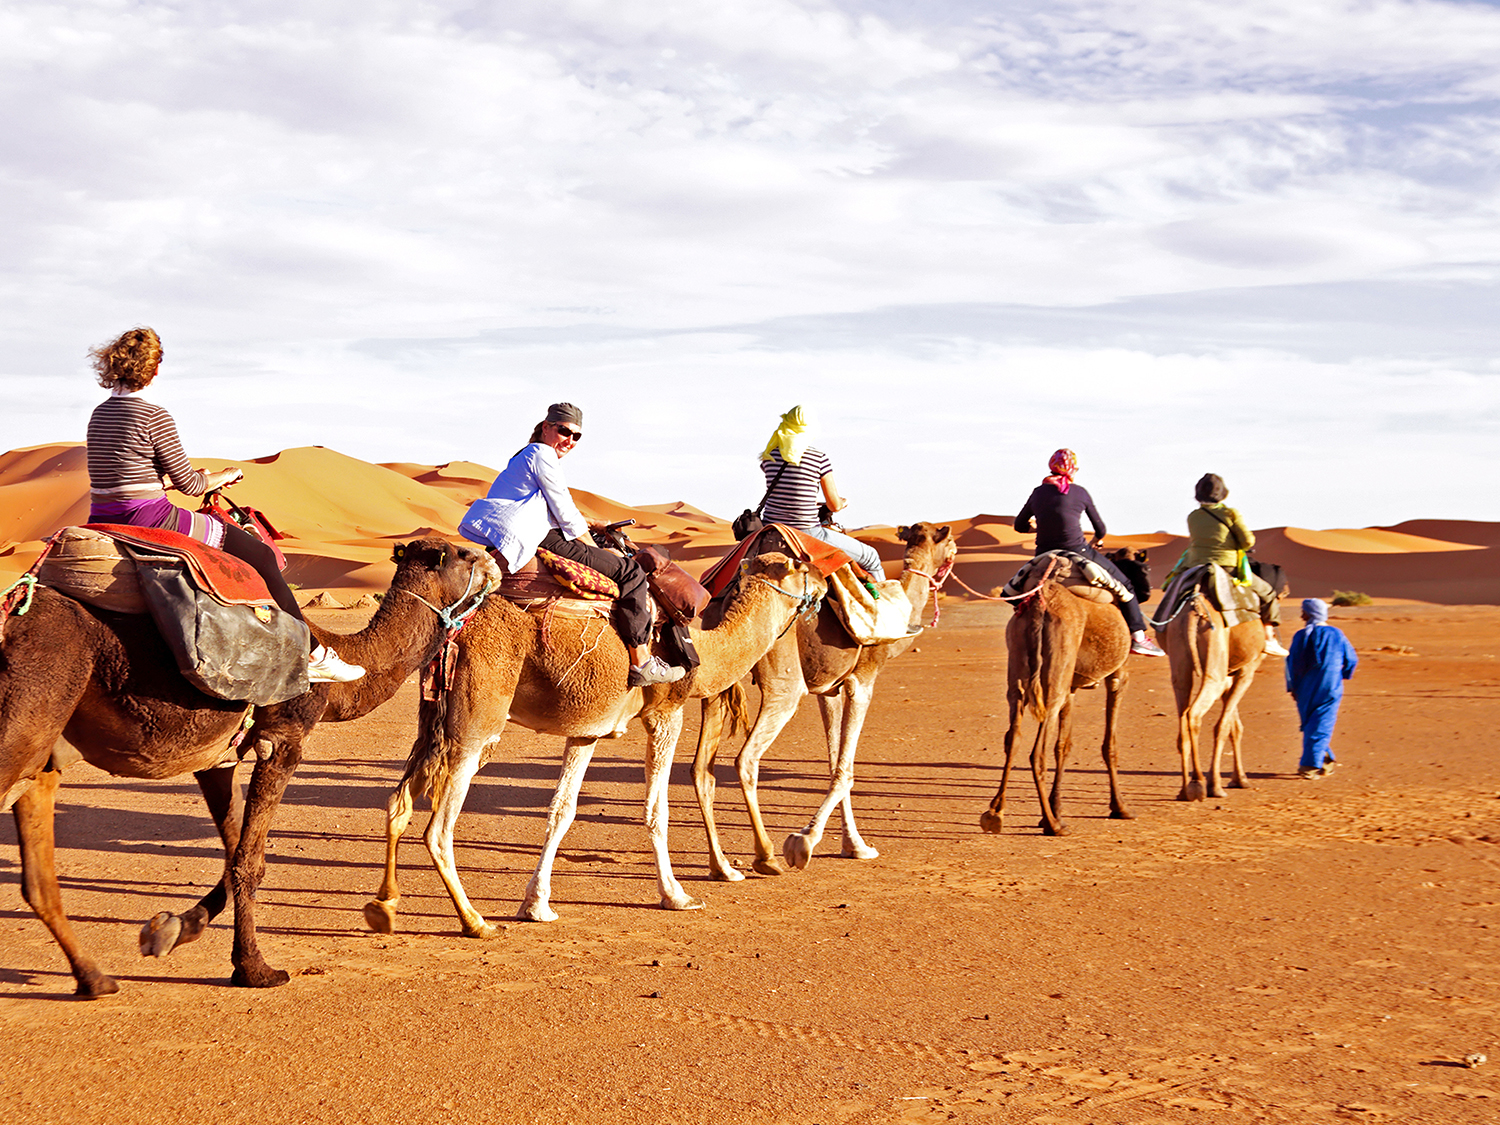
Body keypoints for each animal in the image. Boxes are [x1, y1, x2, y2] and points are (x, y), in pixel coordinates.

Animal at [0, 537, 504, 996]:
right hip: (28, 710)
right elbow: (250, 860)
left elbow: (232, 853)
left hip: (42, 753)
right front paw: (254, 969)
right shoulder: (282, 740)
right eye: (465, 555)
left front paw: (171, 929)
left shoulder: (218, 757)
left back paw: (95, 979)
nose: (496, 563)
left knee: (39, 876)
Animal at [364, 549, 834, 936]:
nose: (827, 581)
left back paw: (384, 906)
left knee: (397, 802)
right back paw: (475, 922)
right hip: (476, 722)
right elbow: (656, 810)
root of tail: (455, 630)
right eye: (800, 565)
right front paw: (677, 895)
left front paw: (537, 905)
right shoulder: (666, 711)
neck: (704, 649)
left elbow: (562, 810)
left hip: (435, 721)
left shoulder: (587, 729)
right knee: (439, 829)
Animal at [687, 519, 948, 882]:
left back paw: (722, 866)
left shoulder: (829, 689)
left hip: (718, 675)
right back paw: (765, 856)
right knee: (746, 758)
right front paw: (804, 841)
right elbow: (845, 769)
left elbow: (834, 760)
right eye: (948, 545)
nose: (951, 557)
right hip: (784, 679)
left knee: (701, 768)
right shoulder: (863, 679)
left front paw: (855, 845)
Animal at [978, 552, 1152, 840]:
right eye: (1143, 569)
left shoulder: (1070, 686)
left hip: (1022, 664)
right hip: (1055, 672)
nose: (1148, 591)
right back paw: (1053, 826)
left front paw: (1056, 808)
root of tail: (1041, 603)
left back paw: (995, 814)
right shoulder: (1118, 675)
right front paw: (1120, 807)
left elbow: (1063, 745)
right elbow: (1109, 744)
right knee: (1037, 752)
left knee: (1013, 736)